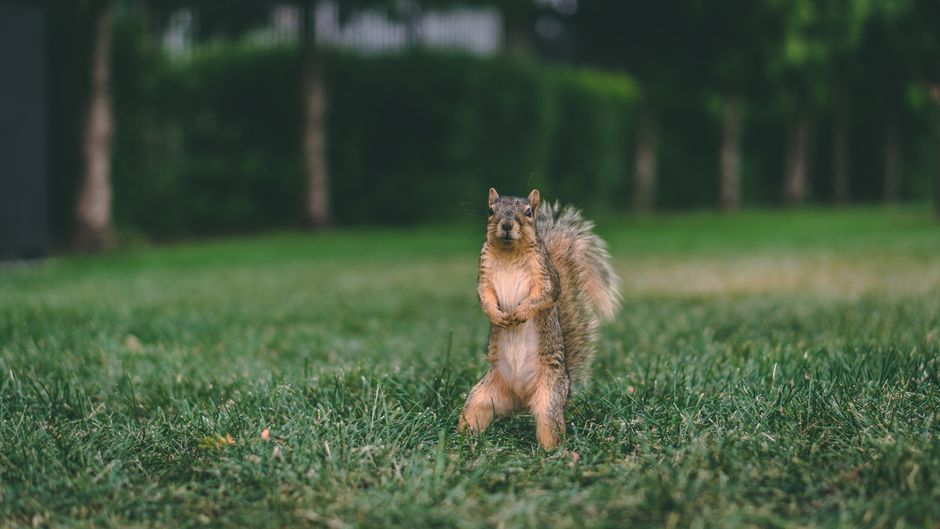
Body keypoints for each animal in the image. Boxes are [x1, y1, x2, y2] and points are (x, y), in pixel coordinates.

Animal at [458, 188, 621, 450]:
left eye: (528, 212)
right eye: (490, 210)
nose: (507, 224)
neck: (509, 252)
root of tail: (521, 398)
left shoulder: (545, 274)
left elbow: (546, 294)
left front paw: (520, 313)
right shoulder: (484, 275)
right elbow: (484, 295)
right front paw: (496, 315)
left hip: (549, 397)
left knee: (549, 426)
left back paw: (552, 452)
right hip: (483, 396)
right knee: (474, 411)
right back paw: (462, 439)